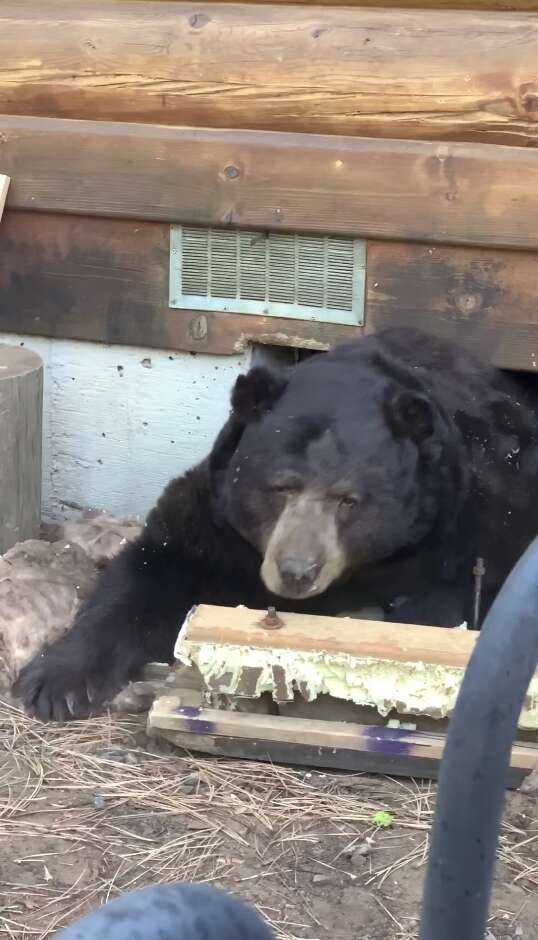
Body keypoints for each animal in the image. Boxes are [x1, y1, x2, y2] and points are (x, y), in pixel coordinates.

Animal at [11, 330, 536, 720]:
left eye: (350, 500)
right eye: (280, 487)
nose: (297, 571)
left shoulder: (464, 525)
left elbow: (448, 603)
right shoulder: (216, 520)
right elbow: (148, 570)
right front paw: (54, 681)